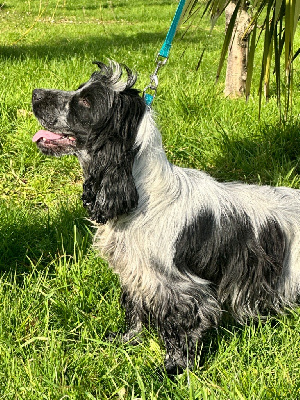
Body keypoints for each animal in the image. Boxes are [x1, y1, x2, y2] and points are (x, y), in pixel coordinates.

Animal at [31, 60, 300, 376]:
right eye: (79, 89)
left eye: (85, 101)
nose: (36, 93)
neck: (141, 193)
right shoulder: (137, 273)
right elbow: (134, 308)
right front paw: (125, 339)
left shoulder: (180, 288)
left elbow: (182, 326)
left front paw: (173, 369)